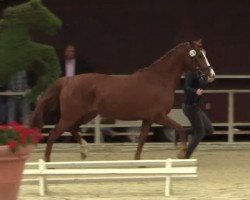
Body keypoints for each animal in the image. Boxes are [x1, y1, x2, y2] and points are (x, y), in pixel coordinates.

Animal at [30, 39, 215, 162]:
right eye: (199, 55)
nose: (211, 75)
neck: (159, 80)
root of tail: (67, 80)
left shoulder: (148, 119)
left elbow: (141, 141)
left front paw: (137, 160)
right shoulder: (159, 116)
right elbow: (181, 129)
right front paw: (181, 153)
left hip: (86, 114)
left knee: (72, 129)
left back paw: (84, 151)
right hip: (72, 115)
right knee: (54, 134)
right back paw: (47, 162)